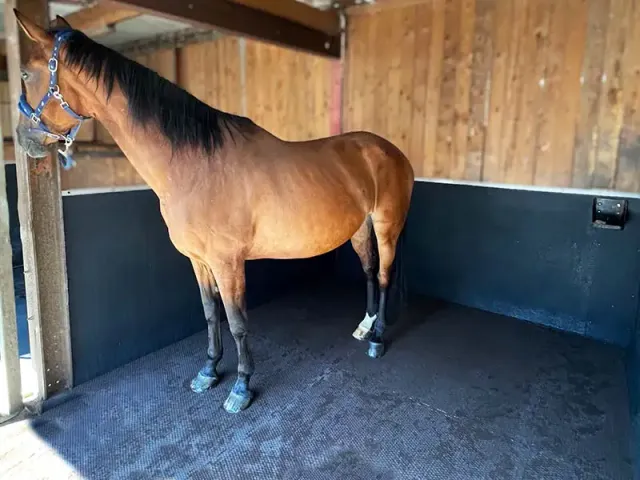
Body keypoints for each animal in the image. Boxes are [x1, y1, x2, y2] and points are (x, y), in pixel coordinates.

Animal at [12, 10, 415, 413]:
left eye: (26, 74)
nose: (22, 139)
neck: (195, 167)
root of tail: (391, 152)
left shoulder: (227, 262)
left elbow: (237, 322)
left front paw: (241, 387)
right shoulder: (199, 260)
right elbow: (209, 313)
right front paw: (208, 371)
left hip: (386, 225)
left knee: (384, 275)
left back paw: (378, 339)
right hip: (359, 228)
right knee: (368, 271)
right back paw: (365, 326)